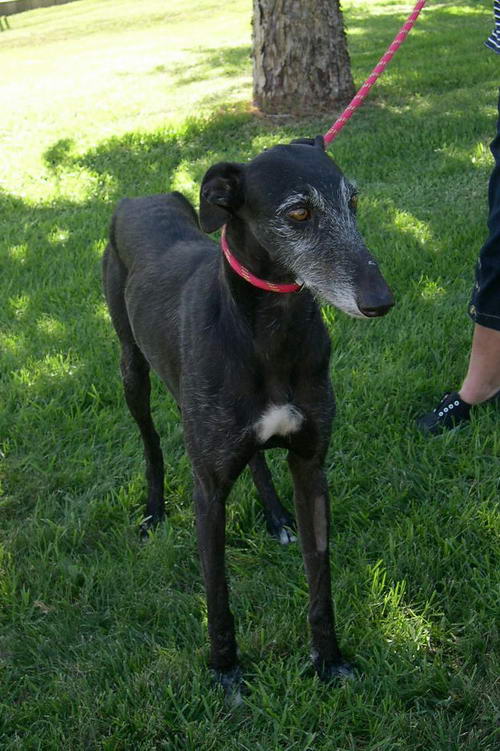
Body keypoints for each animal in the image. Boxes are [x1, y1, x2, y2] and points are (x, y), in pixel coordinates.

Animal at [102, 134, 394, 701]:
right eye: (299, 212)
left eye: (353, 202)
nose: (381, 301)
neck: (267, 335)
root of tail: (139, 198)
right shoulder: (208, 491)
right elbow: (217, 596)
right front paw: (225, 671)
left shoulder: (311, 467)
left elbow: (320, 580)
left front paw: (329, 660)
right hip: (132, 370)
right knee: (151, 442)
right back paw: (153, 511)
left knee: (254, 457)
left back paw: (276, 517)